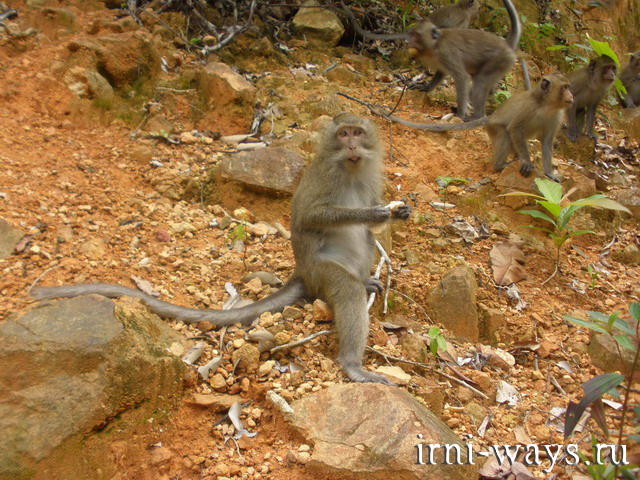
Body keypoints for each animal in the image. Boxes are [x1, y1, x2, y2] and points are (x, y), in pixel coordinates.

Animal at [32, 113, 410, 386]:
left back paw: (365, 283)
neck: (351, 168)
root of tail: (302, 271)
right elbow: (311, 215)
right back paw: (352, 362)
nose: (352, 145)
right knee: (346, 290)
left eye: (357, 132)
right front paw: (373, 213)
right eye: (343, 134)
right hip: (322, 271)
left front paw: (398, 213)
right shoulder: (325, 175)